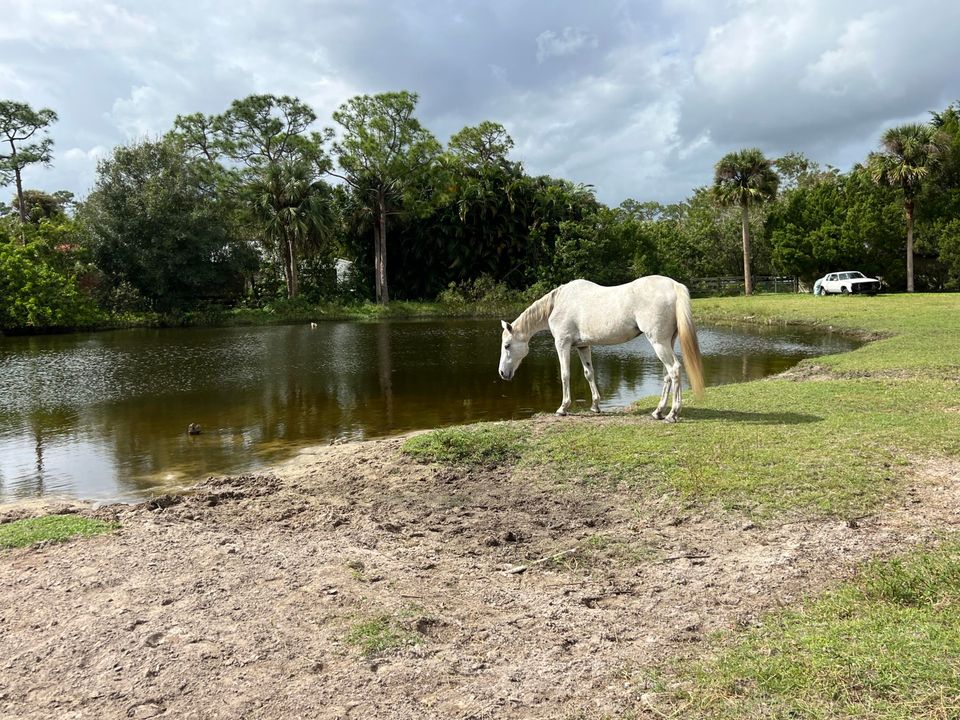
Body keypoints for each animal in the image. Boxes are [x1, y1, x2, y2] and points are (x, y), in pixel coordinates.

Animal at [502, 276, 704, 422]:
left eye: (507, 345)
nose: (503, 373)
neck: (557, 304)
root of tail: (674, 285)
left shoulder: (562, 344)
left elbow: (565, 375)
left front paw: (562, 408)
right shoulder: (583, 346)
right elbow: (589, 373)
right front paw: (595, 406)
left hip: (659, 343)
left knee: (674, 370)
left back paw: (672, 414)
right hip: (667, 342)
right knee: (667, 375)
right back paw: (658, 412)